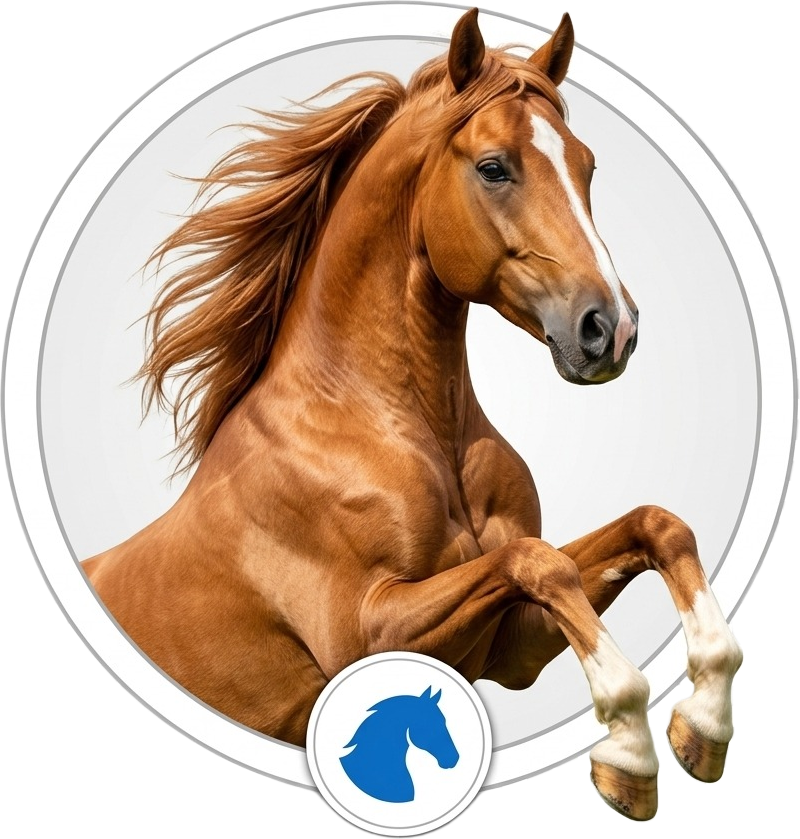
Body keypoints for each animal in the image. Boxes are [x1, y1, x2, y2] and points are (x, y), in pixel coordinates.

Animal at [81, 8, 744, 821]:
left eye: (587, 166)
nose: (609, 330)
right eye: (493, 167)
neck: (403, 430)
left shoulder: (512, 644)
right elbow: (539, 561)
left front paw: (701, 725)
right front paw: (631, 754)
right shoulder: (369, 633)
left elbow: (650, 527)